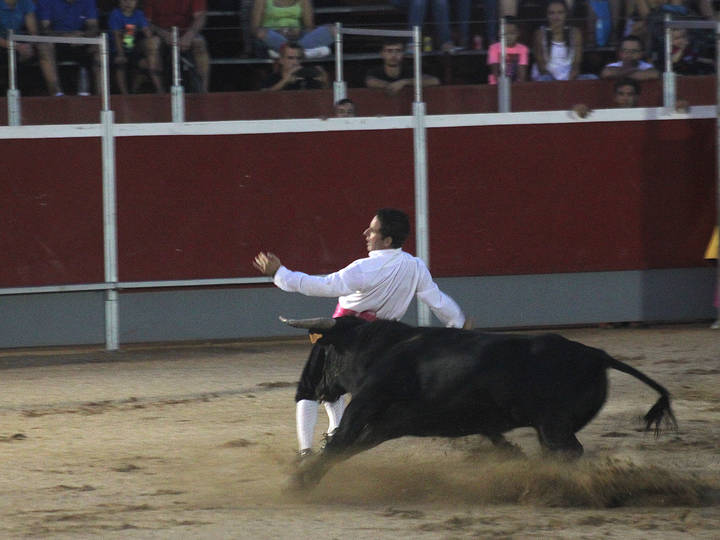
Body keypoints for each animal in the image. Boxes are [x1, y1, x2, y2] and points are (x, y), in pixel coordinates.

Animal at [281, 316, 677, 489]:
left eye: (324, 350)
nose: (313, 388)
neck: (378, 348)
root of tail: (597, 355)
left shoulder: (367, 405)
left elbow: (342, 441)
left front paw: (299, 481)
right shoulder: (390, 423)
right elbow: (349, 446)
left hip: (555, 427)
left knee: (568, 452)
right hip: (551, 429)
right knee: (560, 454)